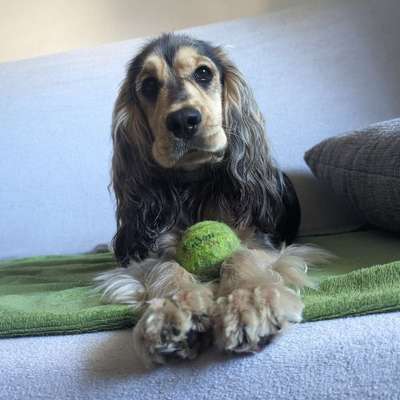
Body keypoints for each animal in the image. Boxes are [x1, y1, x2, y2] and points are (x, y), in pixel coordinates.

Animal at [95, 32, 326, 368]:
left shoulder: (261, 241)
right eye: (148, 85)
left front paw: (249, 301)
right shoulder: (154, 251)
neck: (195, 184)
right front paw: (172, 311)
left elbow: (239, 255)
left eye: (203, 73)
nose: (183, 120)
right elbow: (166, 267)